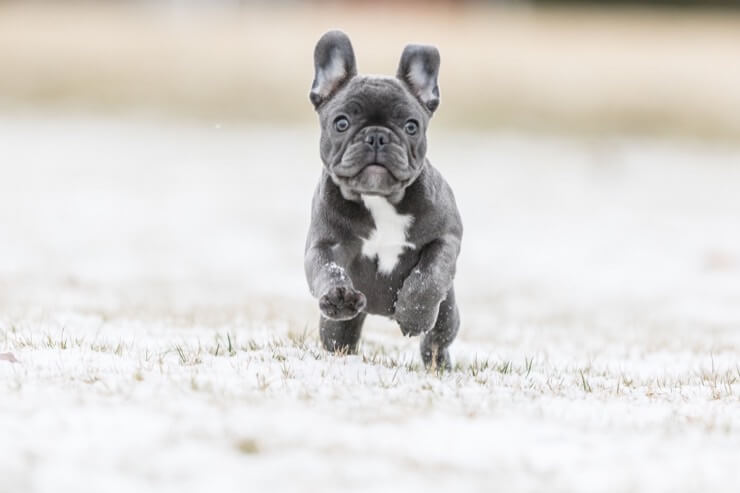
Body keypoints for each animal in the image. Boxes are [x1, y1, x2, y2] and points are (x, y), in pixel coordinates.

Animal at [304, 29, 460, 368]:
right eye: (342, 123)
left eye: (411, 126)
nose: (377, 136)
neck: (378, 199)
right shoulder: (323, 245)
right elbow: (327, 269)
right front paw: (337, 296)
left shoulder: (446, 238)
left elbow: (428, 276)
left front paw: (414, 314)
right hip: (337, 328)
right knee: (339, 337)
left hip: (448, 314)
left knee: (437, 339)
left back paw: (437, 363)